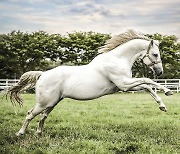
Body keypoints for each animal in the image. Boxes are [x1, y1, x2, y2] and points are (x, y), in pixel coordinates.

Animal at [7, 29, 173, 135]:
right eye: (155, 54)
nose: (160, 72)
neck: (117, 59)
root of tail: (42, 74)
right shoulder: (124, 84)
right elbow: (147, 81)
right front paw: (168, 92)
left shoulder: (124, 86)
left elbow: (147, 87)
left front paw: (162, 106)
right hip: (44, 103)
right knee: (30, 114)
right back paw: (20, 133)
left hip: (52, 103)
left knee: (43, 116)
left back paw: (39, 133)